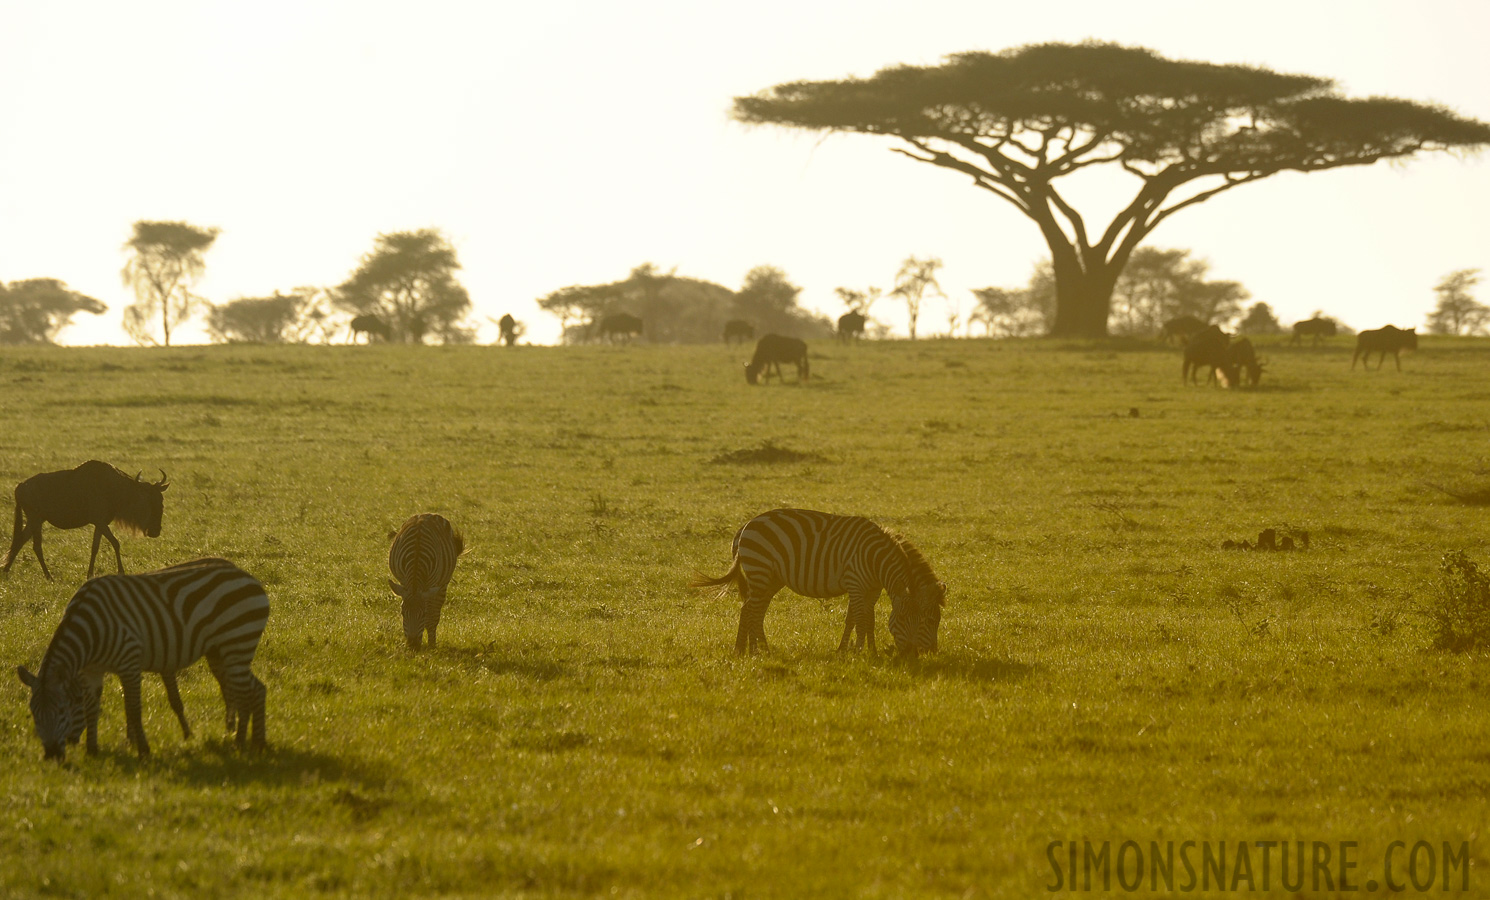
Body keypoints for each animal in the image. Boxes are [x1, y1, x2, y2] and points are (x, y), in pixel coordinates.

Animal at [14, 560, 269, 762]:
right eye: (33, 713)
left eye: (62, 710)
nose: (52, 755)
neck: (89, 631)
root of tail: (250, 578)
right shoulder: (91, 672)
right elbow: (93, 709)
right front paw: (93, 750)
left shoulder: (129, 661)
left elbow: (133, 709)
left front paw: (143, 750)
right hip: (222, 651)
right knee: (254, 690)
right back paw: (254, 743)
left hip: (237, 644)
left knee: (246, 692)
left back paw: (242, 744)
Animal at [387, 509, 461, 649]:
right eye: (402, 613)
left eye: (423, 614)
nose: (413, 645)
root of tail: (428, 514)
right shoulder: (403, 582)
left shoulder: (431, 585)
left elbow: (430, 617)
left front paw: (431, 645)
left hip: (443, 583)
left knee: (435, 613)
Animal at [691, 506, 947, 661]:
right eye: (924, 620)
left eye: (936, 621)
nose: (922, 654)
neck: (877, 560)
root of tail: (746, 525)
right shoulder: (856, 584)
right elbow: (862, 621)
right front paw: (861, 653)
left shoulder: (871, 590)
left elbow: (862, 620)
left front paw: (854, 651)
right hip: (760, 571)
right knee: (750, 611)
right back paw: (754, 650)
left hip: (771, 579)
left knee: (753, 611)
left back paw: (753, 650)